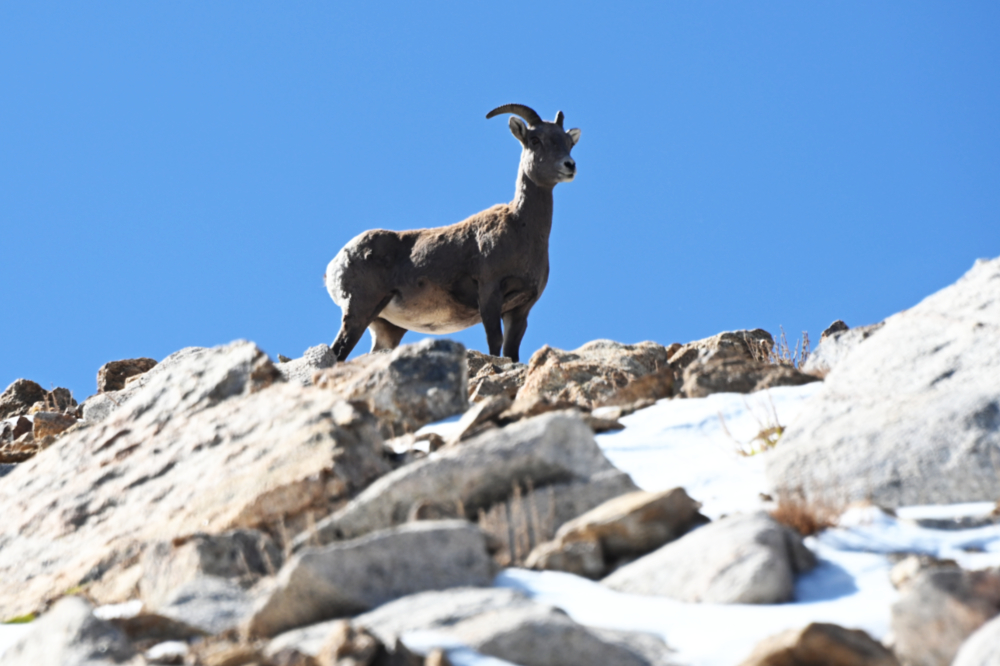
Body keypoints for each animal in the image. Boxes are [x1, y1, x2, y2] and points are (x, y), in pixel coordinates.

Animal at [325, 103, 581, 363]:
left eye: (569, 142)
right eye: (535, 139)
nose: (569, 165)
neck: (521, 229)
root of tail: (333, 265)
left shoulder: (520, 309)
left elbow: (512, 352)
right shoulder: (489, 293)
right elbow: (495, 341)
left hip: (386, 328)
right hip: (359, 310)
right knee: (337, 351)